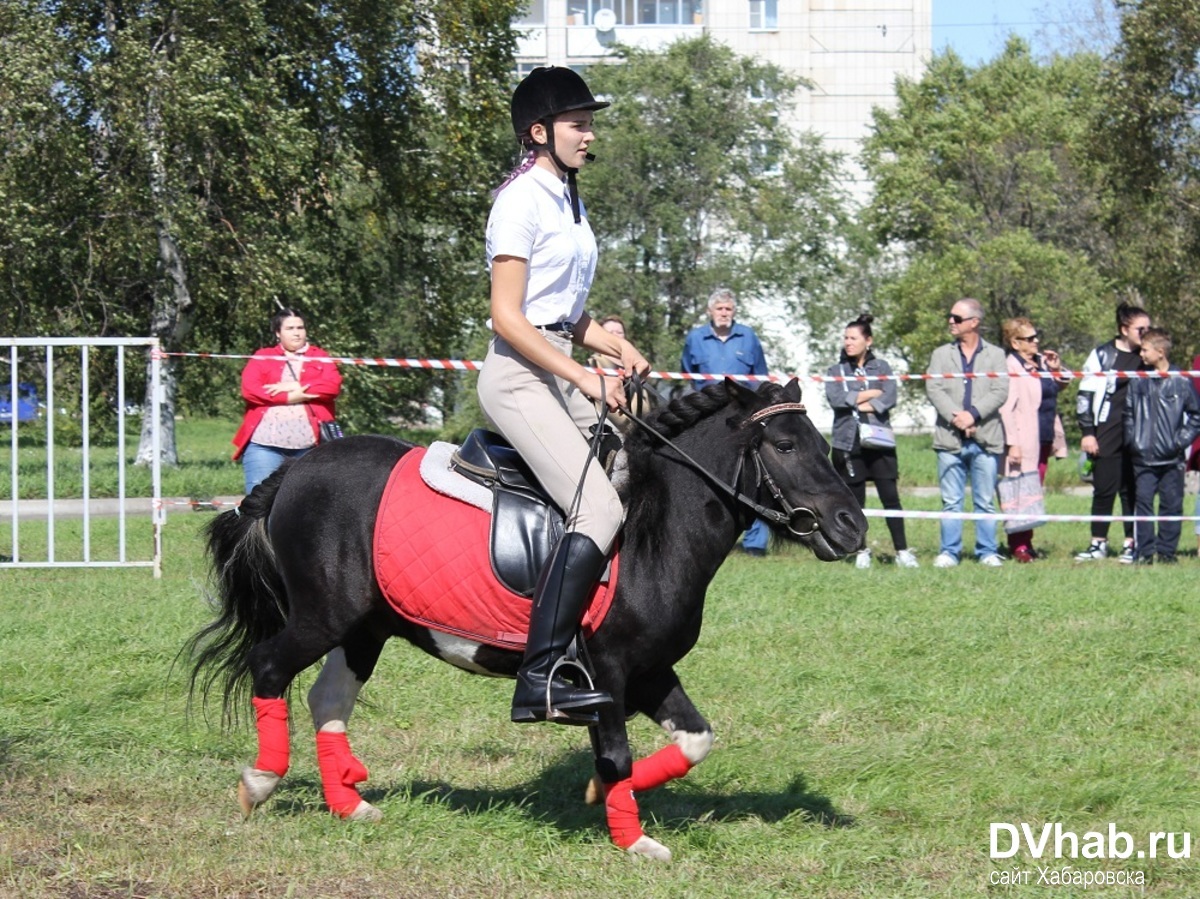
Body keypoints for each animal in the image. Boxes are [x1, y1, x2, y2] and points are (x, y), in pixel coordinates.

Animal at [184, 374, 864, 859]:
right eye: (784, 446)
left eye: (824, 446)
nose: (852, 527)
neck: (656, 526)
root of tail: (294, 469)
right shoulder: (605, 674)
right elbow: (617, 755)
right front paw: (634, 840)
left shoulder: (649, 671)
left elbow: (695, 740)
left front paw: (601, 797)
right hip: (324, 617)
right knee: (268, 667)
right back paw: (260, 782)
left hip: (365, 628)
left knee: (327, 699)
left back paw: (349, 805)